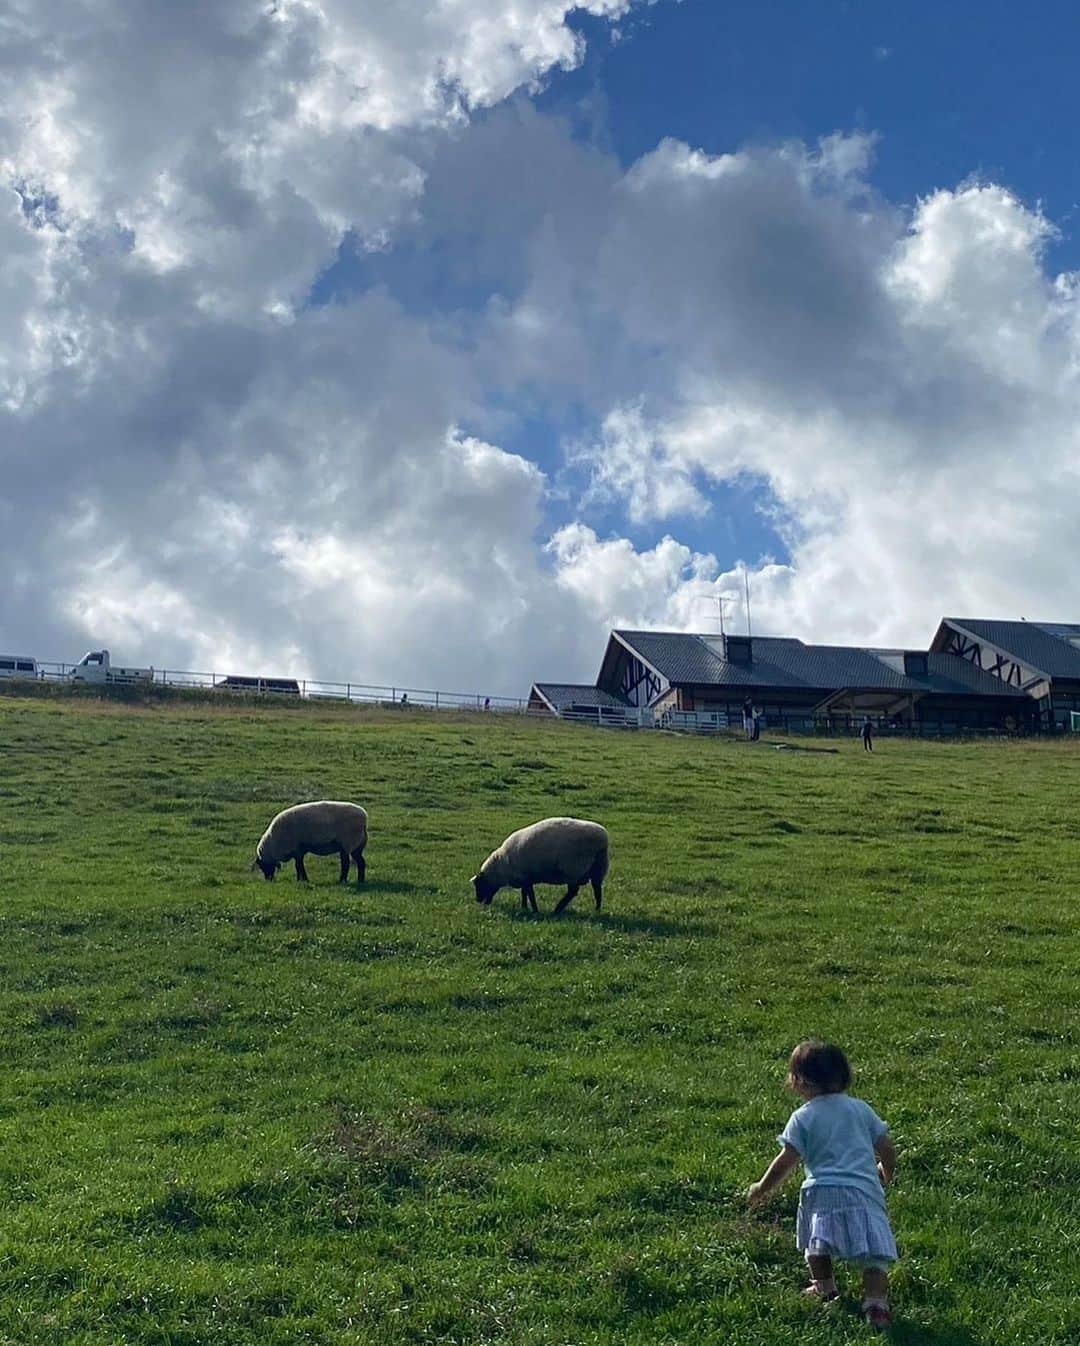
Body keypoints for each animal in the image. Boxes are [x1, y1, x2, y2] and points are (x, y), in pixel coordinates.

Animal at [468, 818, 605, 915]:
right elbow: (524, 893)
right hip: (598, 870)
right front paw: (524, 907)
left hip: (573, 869)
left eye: (480, 885)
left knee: (573, 891)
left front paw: (534, 910)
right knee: (597, 891)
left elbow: (530, 894)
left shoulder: (526, 877)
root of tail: (602, 838)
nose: (478, 901)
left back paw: (557, 910)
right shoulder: (525, 878)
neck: (502, 865)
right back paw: (596, 910)